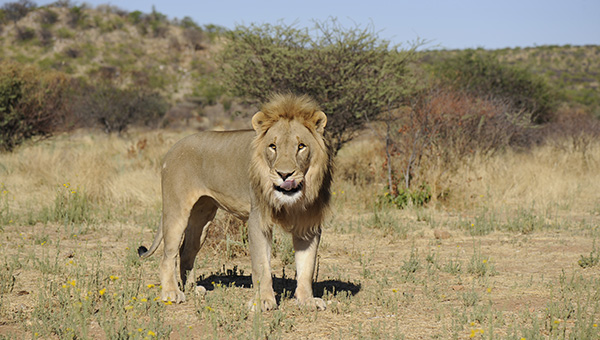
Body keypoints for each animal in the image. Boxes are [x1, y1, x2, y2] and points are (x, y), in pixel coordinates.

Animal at [138, 93, 332, 310]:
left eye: (301, 147)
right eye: (273, 147)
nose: (284, 174)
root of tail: (172, 148)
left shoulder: (309, 224)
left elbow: (307, 266)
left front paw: (307, 301)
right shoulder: (258, 220)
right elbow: (261, 265)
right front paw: (264, 301)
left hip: (202, 218)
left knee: (185, 251)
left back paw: (192, 289)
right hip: (176, 210)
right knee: (168, 255)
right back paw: (172, 293)